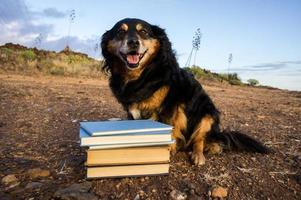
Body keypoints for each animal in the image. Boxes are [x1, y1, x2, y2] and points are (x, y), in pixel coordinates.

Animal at [99, 18, 268, 166]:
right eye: (121, 31)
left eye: (144, 32)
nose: (133, 42)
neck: (140, 76)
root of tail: (218, 134)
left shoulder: (171, 106)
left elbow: (170, 130)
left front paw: (167, 150)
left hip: (207, 114)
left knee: (199, 140)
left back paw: (198, 155)